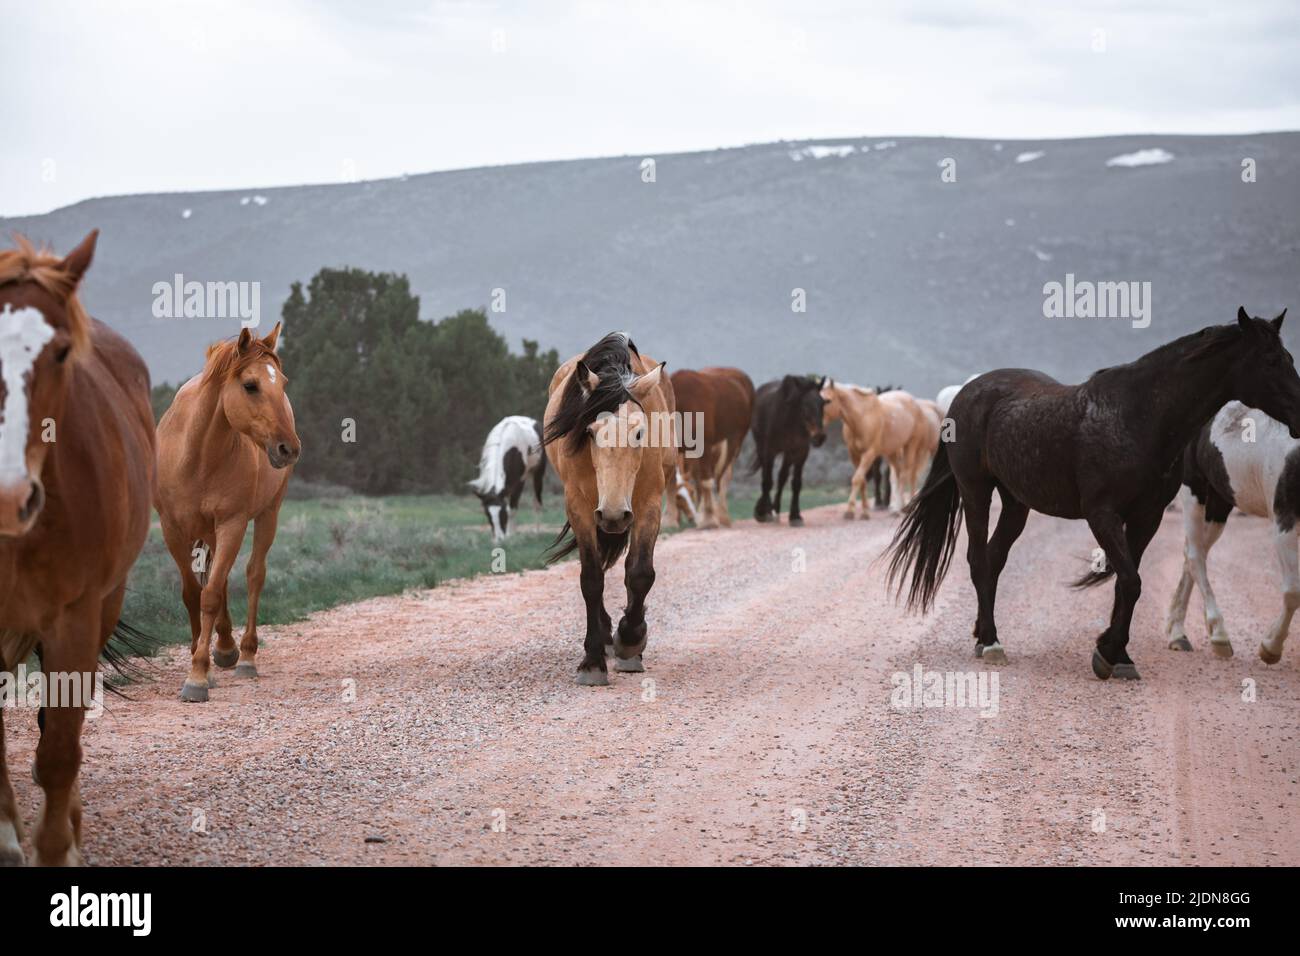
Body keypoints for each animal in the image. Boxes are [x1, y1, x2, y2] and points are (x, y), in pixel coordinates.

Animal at [155, 323, 301, 702]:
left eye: (283, 382)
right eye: (250, 385)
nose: (289, 448)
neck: (197, 456)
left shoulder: (233, 524)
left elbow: (210, 595)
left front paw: (197, 675)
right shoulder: (172, 529)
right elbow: (194, 593)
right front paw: (202, 661)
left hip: (268, 514)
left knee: (253, 575)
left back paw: (244, 654)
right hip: (205, 530)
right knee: (213, 579)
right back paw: (223, 647)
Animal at [543, 332, 675, 685]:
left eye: (639, 432)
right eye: (590, 432)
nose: (614, 514)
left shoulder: (648, 504)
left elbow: (640, 572)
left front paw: (630, 641)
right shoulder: (580, 507)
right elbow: (591, 578)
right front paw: (592, 662)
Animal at [668, 367, 755, 529]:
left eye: (691, 493)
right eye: (678, 497)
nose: (691, 518)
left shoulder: (705, 447)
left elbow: (705, 482)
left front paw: (708, 519)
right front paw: (671, 518)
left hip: (734, 443)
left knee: (722, 478)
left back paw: (721, 516)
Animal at [751, 375, 827, 526]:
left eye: (822, 404)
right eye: (805, 406)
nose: (819, 437)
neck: (789, 421)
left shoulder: (801, 452)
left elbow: (796, 483)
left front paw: (795, 516)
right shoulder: (769, 451)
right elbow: (767, 481)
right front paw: (763, 512)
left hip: (788, 454)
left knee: (782, 477)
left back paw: (776, 508)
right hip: (762, 448)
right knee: (766, 475)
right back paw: (767, 509)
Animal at [1164, 397, 1300, 664]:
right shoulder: (1284, 523)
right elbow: (1293, 592)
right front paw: (1270, 647)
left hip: (1218, 504)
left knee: (1192, 553)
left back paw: (1178, 634)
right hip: (1193, 490)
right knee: (1195, 556)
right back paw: (1219, 635)